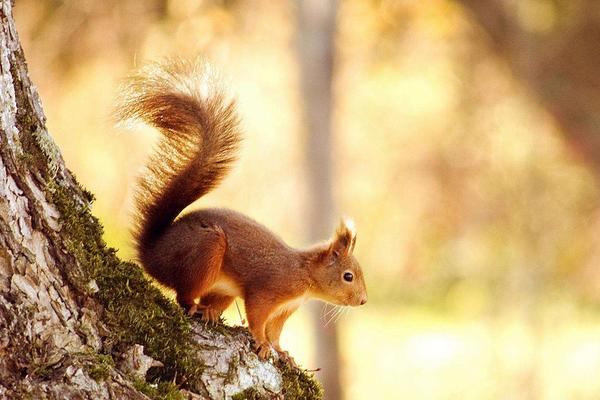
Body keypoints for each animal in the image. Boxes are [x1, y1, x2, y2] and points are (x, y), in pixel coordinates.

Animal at [116, 58, 366, 362]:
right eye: (348, 276)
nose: (363, 300)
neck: (305, 274)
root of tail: (152, 253)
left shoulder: (285, 308)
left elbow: (275, 331)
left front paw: (282, 351)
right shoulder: (268, 291)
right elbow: (258, 317)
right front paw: (261, 343)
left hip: (223, 288)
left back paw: (210, 311)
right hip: (206, 251)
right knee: (183, 295)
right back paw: (195, 307)